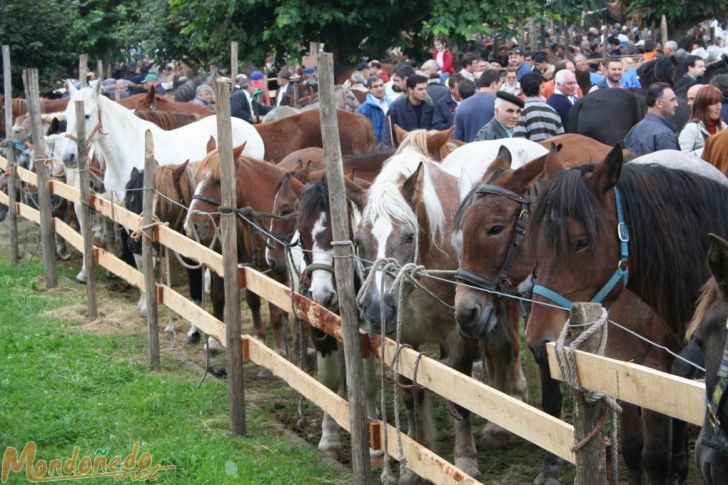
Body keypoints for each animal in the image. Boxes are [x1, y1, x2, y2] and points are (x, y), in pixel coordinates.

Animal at [352, 146, 524, 478]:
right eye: (358, 241)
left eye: (409, 236)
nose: (377, 308)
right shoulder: (403, 334)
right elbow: (411, 394)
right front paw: (414, 456)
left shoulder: (462, 334)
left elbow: (460, 395)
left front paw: (465, 459)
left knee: (504, 351)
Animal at [456, 145, 684, 484]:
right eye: (463, 227)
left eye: (495, 229)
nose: (465, 313)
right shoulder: (600, 360)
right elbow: (557, 407)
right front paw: (553, 467)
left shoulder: (653, 367)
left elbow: (654, 451)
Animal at [524, 148, 728, 484]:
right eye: (534, 240)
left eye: (582, 242)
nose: (538, 339)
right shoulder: (622, 365)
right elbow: (633, 450)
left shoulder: (656, 367)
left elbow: (654, 458)